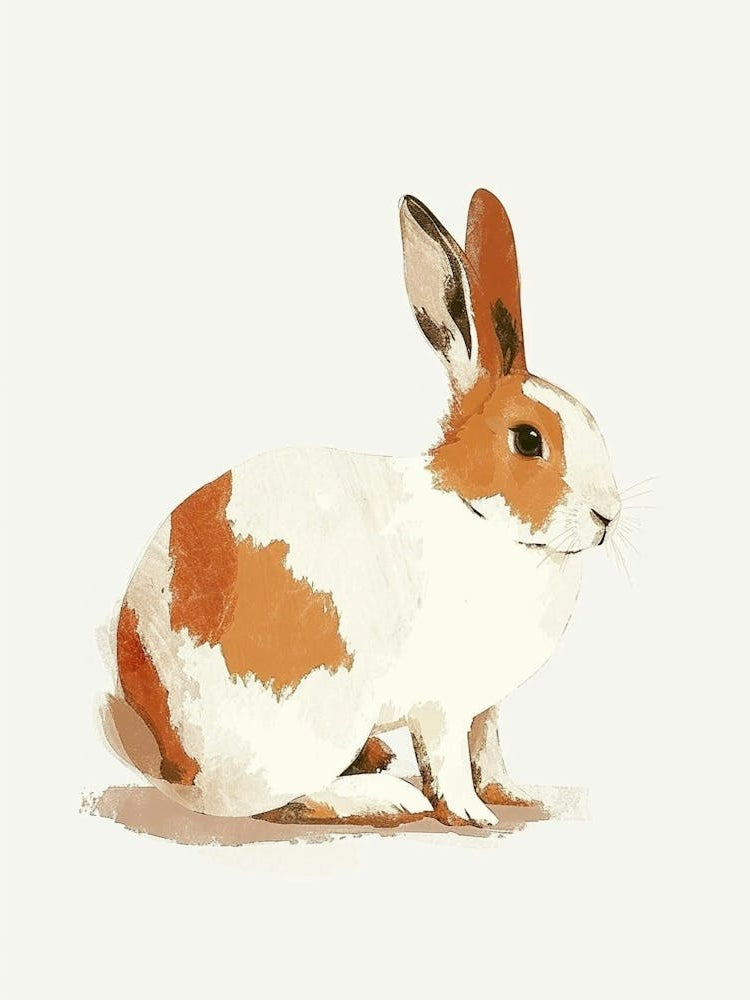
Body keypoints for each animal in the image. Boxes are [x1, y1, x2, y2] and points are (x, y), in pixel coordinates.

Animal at [105, 188, 621, 828]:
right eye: (528, 440)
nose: (608, 515)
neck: (481, 519)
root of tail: (168, 754)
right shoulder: (442, 704)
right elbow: (449, 759)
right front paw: (473, 814)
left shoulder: (486, 705)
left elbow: (489, 745)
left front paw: (514, 794)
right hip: (316, 719)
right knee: (286, 798)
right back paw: (389, 795)